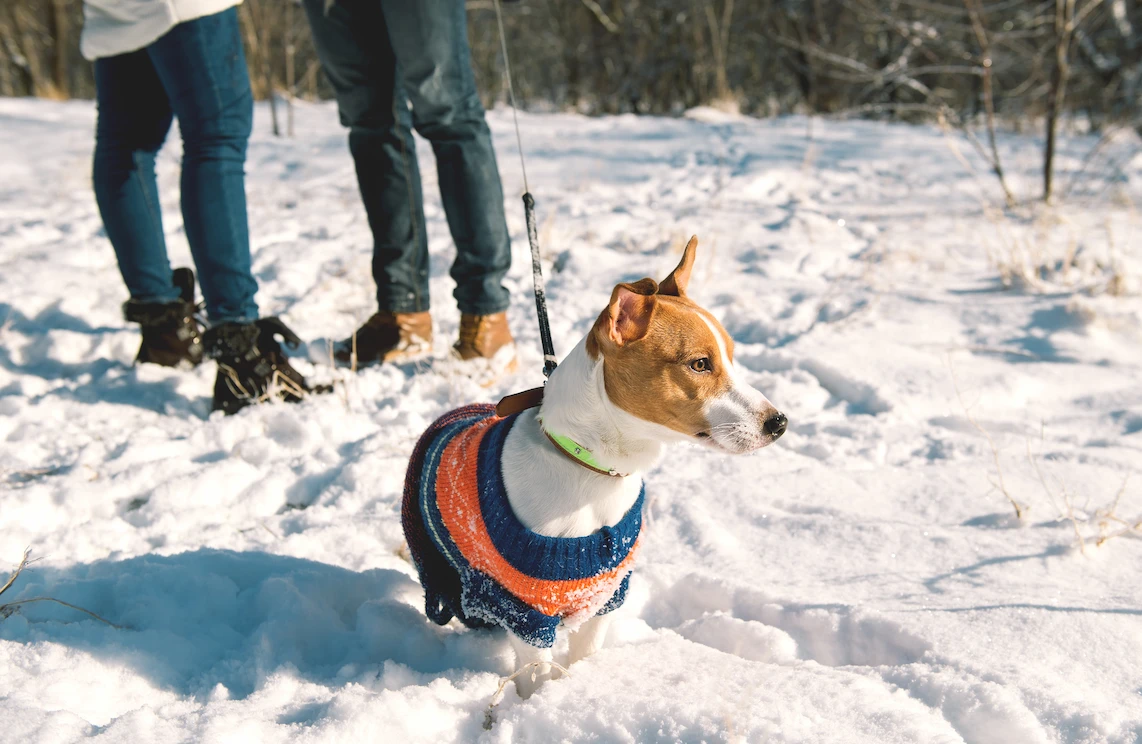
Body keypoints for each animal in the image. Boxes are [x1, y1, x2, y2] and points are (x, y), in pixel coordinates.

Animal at [401, 237, 785, 699]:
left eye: (730, 356)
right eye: (699, 364)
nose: (779, 422)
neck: (593, 470)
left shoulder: (606, 594)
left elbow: (585, 654)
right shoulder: (525, 610)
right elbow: (536, 674)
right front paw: (539, 704)